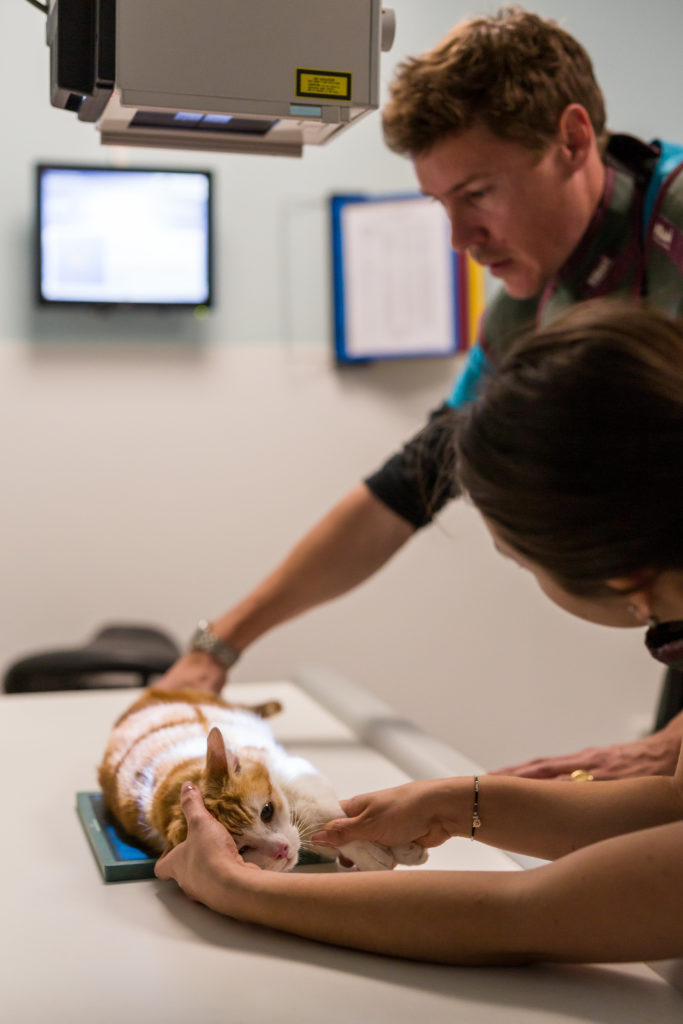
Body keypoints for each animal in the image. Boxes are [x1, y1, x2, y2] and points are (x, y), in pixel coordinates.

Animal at [97, 688, 428, 872]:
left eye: (266, 811)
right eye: (242, 850)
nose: (280, 850)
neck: (179, 779)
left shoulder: (292, 770)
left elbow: (327, 816)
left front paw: (396, 844)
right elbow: (326, 832)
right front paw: (374, 853)